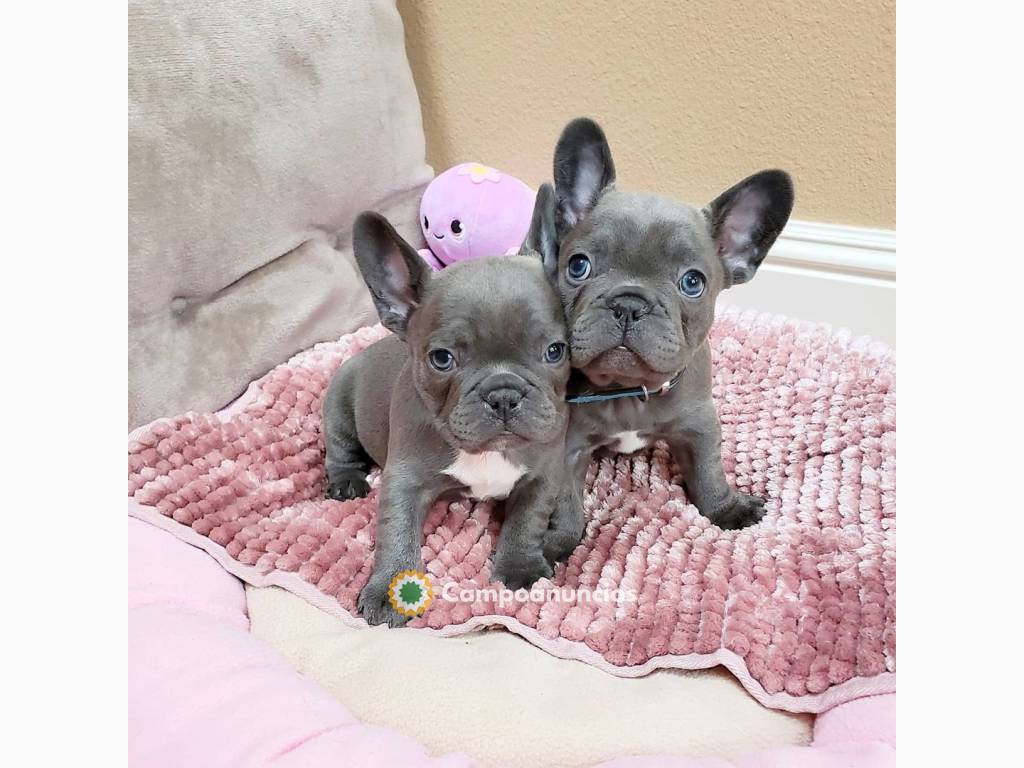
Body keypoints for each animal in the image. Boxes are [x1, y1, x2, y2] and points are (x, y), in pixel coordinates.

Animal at [323, 208, 573, 626]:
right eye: (442, 359)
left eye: (555, 351)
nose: (503, 393)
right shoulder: (404, 481)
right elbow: (396, 530)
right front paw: (391, 588)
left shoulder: (543, 475)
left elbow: (528, 519)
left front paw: (520, 566)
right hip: (338, 406)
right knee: (338, 451)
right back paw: (345, 483)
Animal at [528, 118, 798, 565]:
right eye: (578, 265)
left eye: (692, 282)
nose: (628, 303)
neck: (628, 392)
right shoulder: (568, 448)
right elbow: (566, 501)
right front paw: (559, 542)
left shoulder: (700, 424)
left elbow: (708, 472)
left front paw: (727, 509)